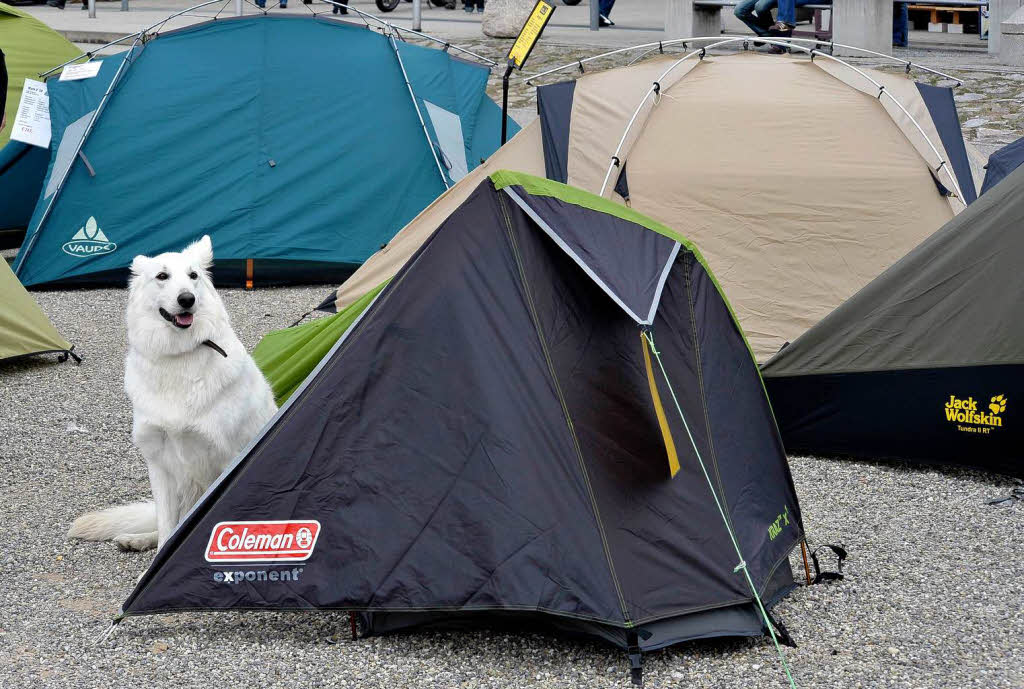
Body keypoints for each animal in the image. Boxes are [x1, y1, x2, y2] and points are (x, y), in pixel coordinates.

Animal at [68, 239, 278, 552]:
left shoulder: (226, 458)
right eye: (162, 276)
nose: (187, 299)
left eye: (193, 275)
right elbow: (167, 527)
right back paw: (136, 539)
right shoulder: (159, 463)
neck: (179, 356)